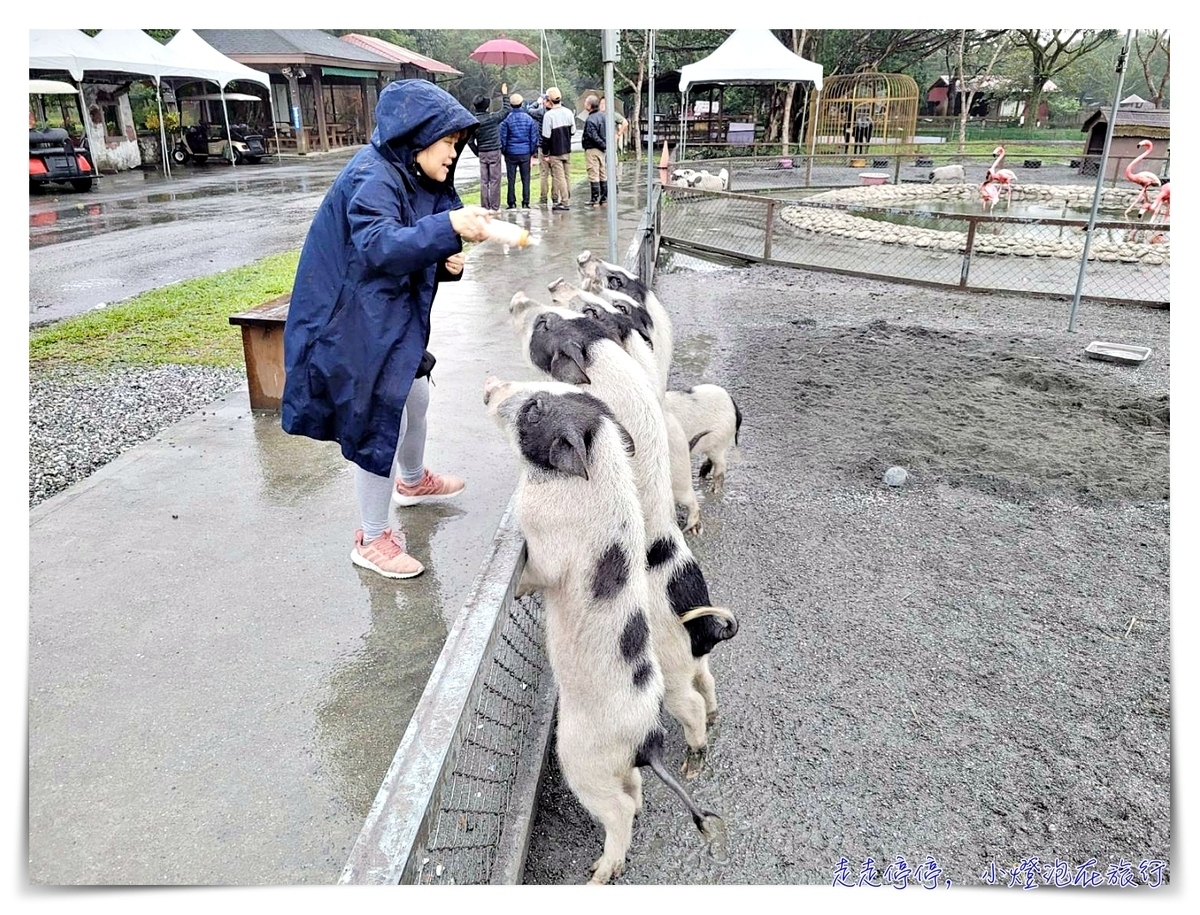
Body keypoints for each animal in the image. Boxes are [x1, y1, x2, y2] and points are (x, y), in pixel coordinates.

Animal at [480, 374, 720, 878]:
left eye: (534, 408)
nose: (491, 383)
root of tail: (646, 739)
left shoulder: (546, 541)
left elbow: (538, 572)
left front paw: (520, 589)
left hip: (581, 757)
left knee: (621, 808)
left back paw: (598, 875)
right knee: (635, 789)